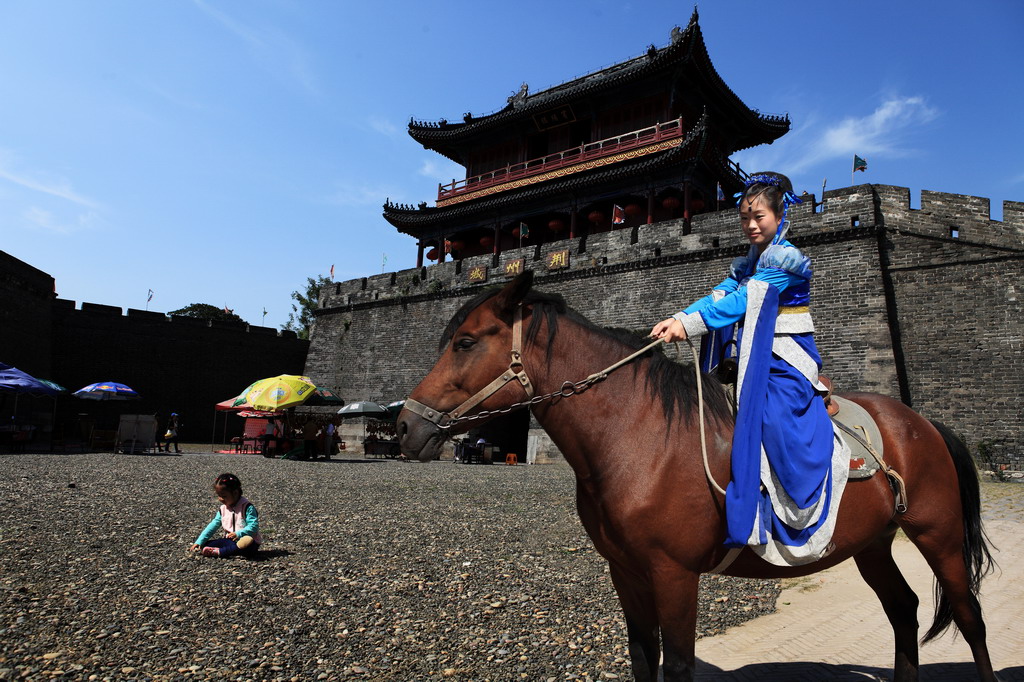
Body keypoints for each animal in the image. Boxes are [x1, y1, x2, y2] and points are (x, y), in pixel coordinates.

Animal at [395, 270, 995, 679]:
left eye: (466, 342)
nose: (404, 425)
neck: (639, 436)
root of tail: (920, 423)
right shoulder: (626, 571)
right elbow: (643, 658)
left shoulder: (675, 574)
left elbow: (678, 664)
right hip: (870, 544)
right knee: (904, 611)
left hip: (938, 535)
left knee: (970, 618)